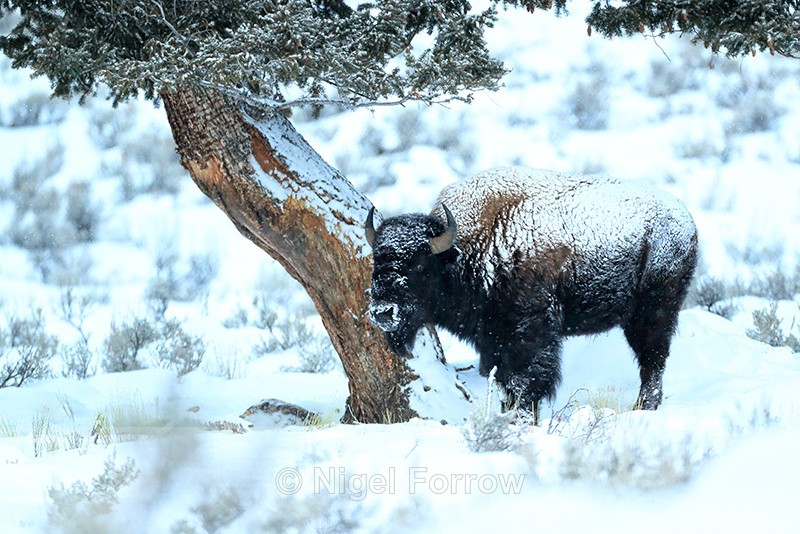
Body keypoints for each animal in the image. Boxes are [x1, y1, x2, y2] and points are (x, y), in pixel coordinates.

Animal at [366, 167, 698, 419]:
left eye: (418, 264)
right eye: (376, 260)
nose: (383, 312)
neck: (468, 249)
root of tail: (686, 220)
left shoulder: (530, 336)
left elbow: (526, 383)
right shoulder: (493, 342)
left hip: (653, 311)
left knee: (652, 360)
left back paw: (643, 408)